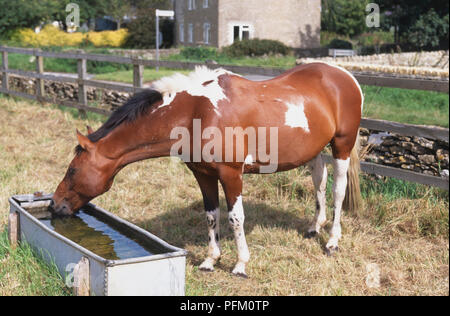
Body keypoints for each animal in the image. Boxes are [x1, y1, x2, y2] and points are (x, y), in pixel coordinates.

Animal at [51, 63, 364, 278]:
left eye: (73, 170)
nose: (55, 205)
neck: (196, 113)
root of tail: (346, 76)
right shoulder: (203, 174)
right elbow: (211, 216)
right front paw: (210, 260)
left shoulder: (231, 174)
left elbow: (235, 218)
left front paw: (240, 264)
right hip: (313, 150)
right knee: (319, 180)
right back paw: (314, 227)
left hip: (342, 145)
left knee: (338, 191)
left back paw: (332, 240)